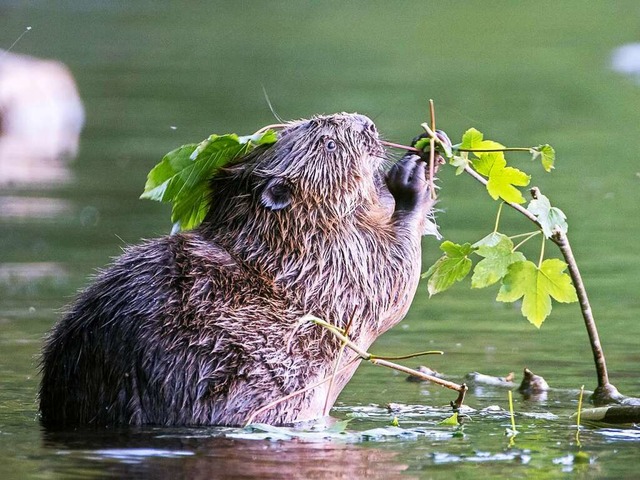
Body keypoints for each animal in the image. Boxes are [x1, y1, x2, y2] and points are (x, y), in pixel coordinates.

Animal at [37, 112, 442, 428]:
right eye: (328, 144)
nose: (368, 125)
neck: (280, 244)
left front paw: (429, 146)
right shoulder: (340, 265)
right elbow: (393, 280)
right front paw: (412, 177)